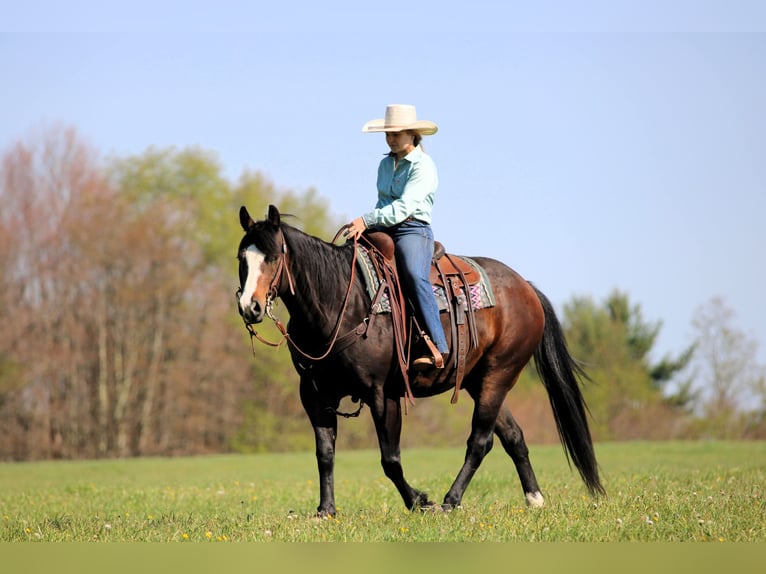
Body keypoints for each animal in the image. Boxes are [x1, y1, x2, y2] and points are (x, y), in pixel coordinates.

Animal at [236, 204, 604, 516]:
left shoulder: (382, 393)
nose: (249, 307)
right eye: (243, 257)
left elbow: (390, 459)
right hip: (478, 381)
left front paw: (419, 501)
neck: (340, 300)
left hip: (498, 376)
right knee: (512, 437)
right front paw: (326, 510)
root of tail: (525, 288)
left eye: (272, 257)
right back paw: (534, 499)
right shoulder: (315, 395)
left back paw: (450, 500)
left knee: (479, 441)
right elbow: (325, 453)